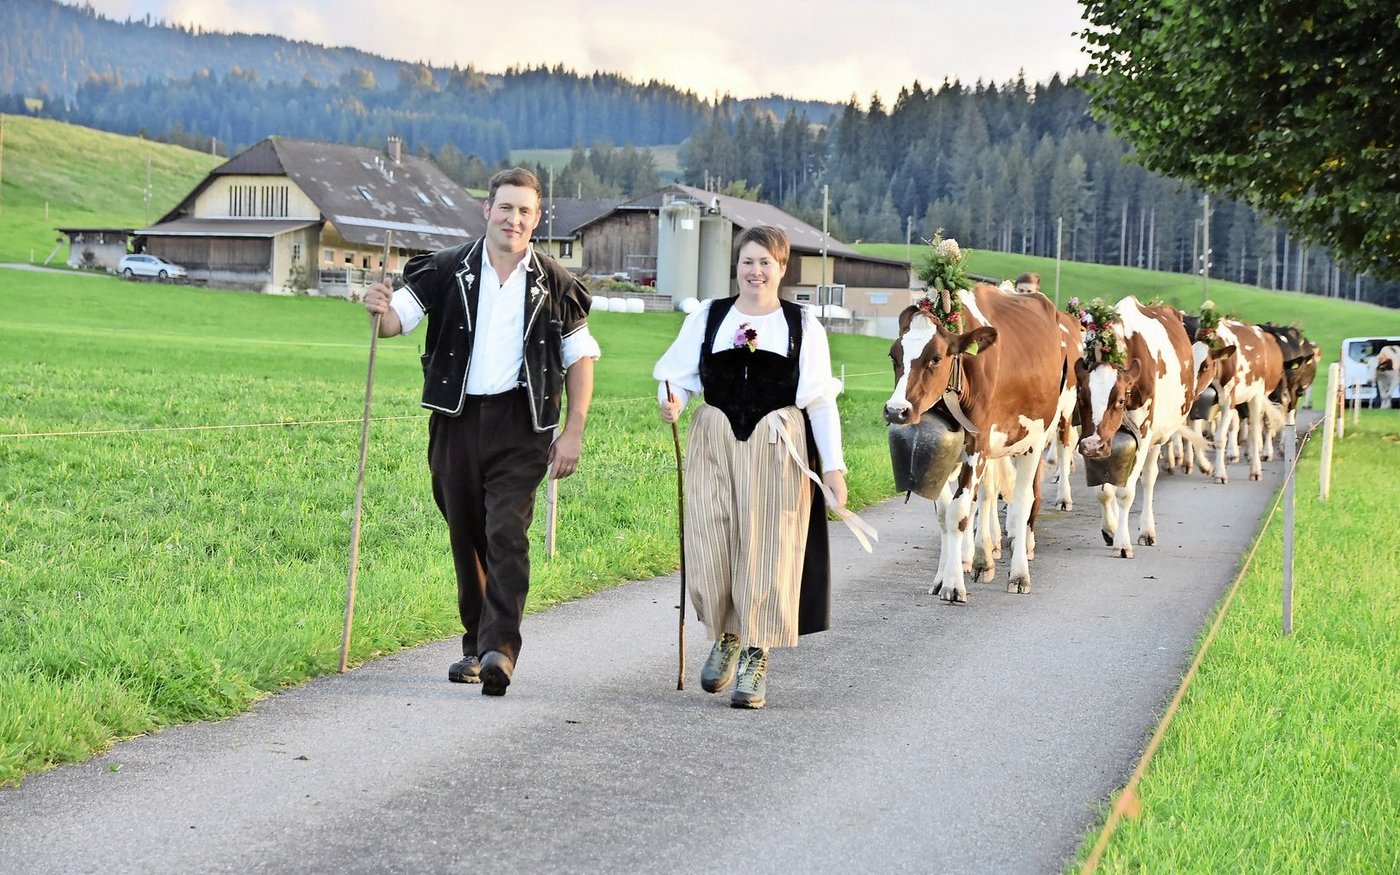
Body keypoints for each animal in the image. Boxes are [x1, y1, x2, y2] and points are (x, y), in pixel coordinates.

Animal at [885, 284, 1071, 602]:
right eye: (894, 355)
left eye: (936, 358)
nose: (896, 410)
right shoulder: (943, 450)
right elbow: (945, 514)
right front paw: (942, 577)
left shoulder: (977, 446)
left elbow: (959, 513)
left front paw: (953, 585)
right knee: (987, 495)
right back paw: (983, 558)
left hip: (1034, 440)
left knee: (1023, 501)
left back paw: (1019, 573)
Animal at [1074, 297, 1213, 558]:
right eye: (1081, 397)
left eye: (1120, 400)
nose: (1092, 446)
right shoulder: (1096, 441)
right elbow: (1104, 490)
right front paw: (1111, 529)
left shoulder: (1143, 436)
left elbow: (1126, 492)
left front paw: (1122, 543)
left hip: (1157, 437)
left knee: (1149, 478)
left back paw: (1147, 531)